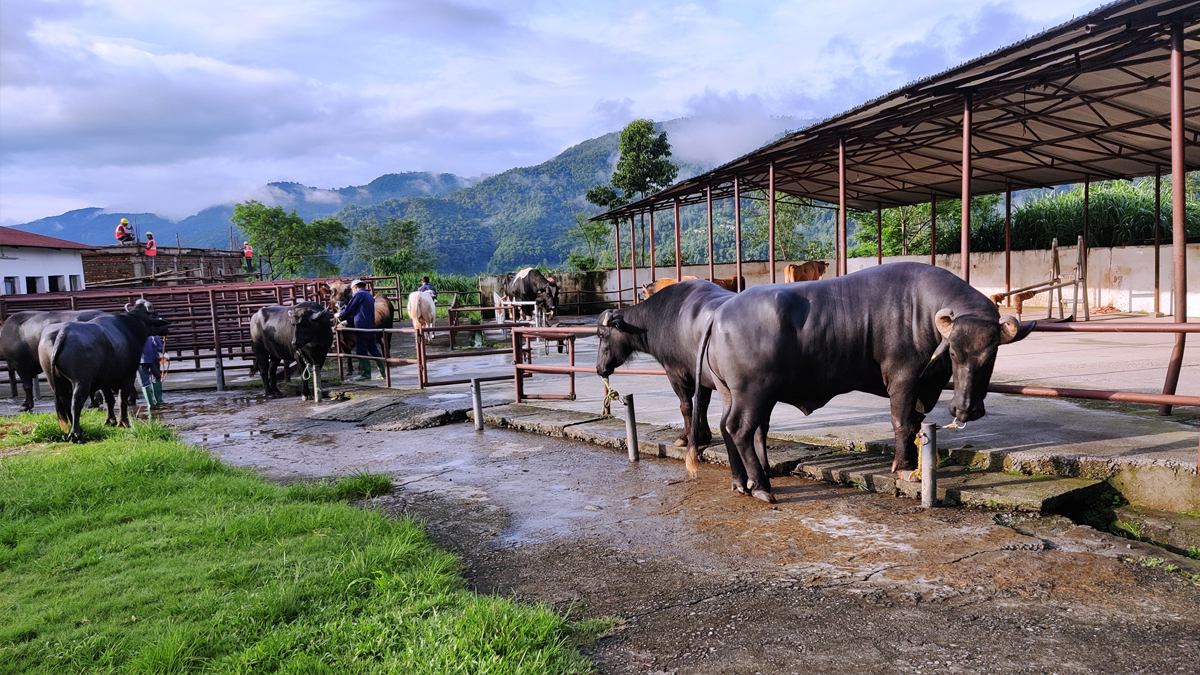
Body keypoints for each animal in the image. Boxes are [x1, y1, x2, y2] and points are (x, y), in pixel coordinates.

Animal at [37, 296, 170, 439]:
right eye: (155, 313)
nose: (166, 327)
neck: (129, 327)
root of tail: (64, 331)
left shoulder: (105, 381)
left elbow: (110, 400)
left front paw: (110, 420)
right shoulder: (129, 376)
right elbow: (122, 400)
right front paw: (124, 422)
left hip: (55, 381)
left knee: (65, 402)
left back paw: (78, 429)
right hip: (81, 381)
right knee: (76, 403)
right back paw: (76, 434)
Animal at [597, 276, 734, 449]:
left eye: (601, 334)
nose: (599, 368)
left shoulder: (674, 372)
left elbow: (685, 405)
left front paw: (685, 438)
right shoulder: (702, 377)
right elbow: (702, 404)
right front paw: (702, 436)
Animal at [696, 261, 1032, 499]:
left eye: (990, 356)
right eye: (953, 354)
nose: (964, 410)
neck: (922, 310)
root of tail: (721, 312)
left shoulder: (923, 387)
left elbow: (917, 423)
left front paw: (915, 462)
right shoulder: (903, 378)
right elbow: (902, 421)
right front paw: (903, 467)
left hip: (732, 392)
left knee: (727, 426)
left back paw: (740, 481)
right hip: (753, 392)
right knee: (740, 429)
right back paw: (761, 486)